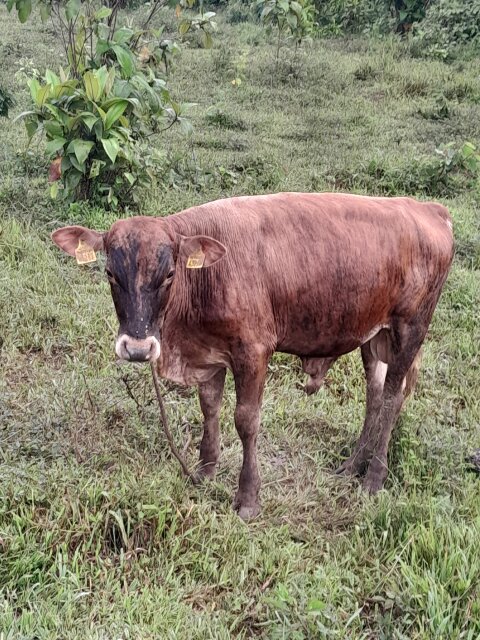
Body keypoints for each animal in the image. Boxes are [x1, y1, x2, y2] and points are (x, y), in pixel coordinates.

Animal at [52, 192, 454, 520]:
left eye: (168, 274)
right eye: (109, 273)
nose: (137, 348)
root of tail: (426, 208)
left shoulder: (253, 352)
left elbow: (245, 421)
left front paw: (247, 498)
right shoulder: (209, 354)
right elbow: (209, 407)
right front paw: (205, 469)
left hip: (410, 330)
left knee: (392, 398)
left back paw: (373, 477)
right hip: (373, 335)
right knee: (375, 395)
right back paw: (352, 466)